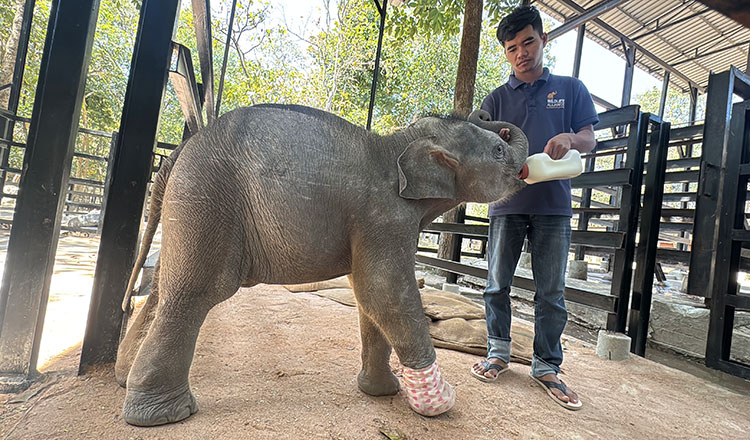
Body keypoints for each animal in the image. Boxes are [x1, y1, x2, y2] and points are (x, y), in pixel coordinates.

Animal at [117, 104, 528, 426]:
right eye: (497, 150)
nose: (488, 116)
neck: (399, 142)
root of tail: (180, 149)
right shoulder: (385, 215)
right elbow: (383, 291)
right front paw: (437, 401)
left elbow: (368, 298)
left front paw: (382, 392)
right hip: (206, 199)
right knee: (193, 294)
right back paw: (164, 415)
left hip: (187, 206)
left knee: (162, 290)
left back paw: (124, 378)